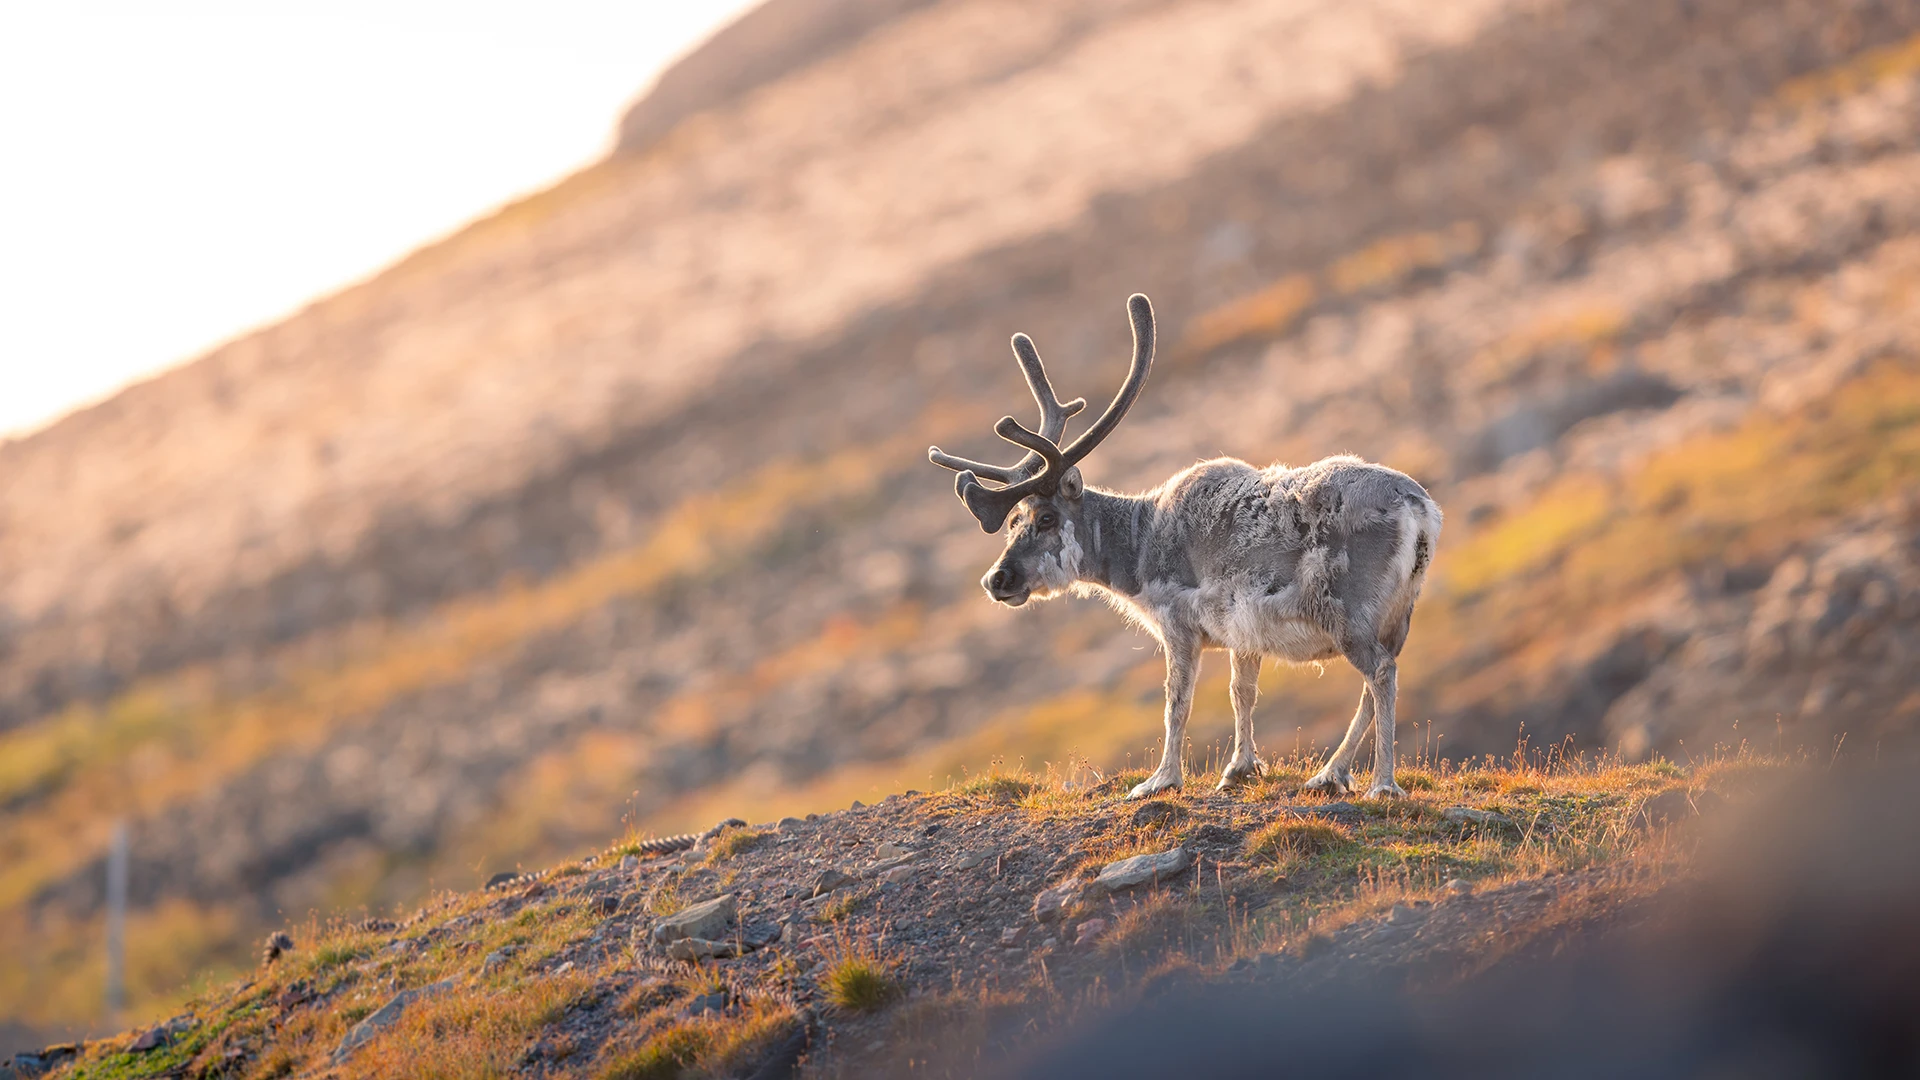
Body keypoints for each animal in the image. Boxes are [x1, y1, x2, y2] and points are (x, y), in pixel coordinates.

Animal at [928, 294, 1442, 800]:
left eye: (1047, 517)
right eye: (1014, 520)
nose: (997, 579)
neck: (1137, 547)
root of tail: (1419, 509)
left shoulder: (1178, 622)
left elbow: (1176, 702)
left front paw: (1160, 779)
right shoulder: (1243, 634)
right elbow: (1242, 691)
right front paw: (1239, 768)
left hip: (1346, 614)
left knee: (1380, 674)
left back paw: (1381, 783)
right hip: (1397, 616)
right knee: (1376, 681)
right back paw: (1329, 773)